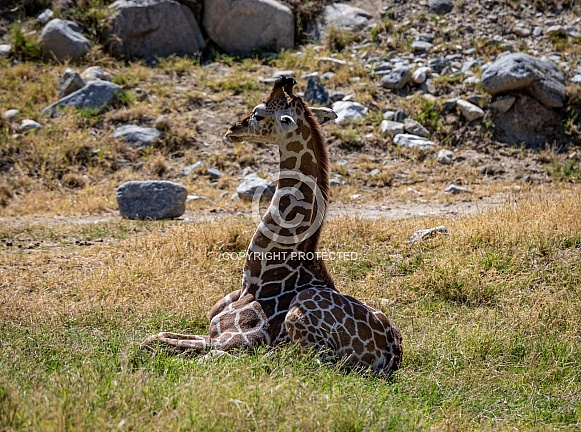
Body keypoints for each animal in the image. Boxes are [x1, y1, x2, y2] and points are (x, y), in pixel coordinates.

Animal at [143, 77, 402, 374]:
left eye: (258, 114)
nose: (232, 129)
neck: (255, 281)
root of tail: (391, 354)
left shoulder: (234, 339)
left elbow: (160, 343)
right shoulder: (212, 332)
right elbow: (157, 336)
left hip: (303, 319)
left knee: (316, 362)